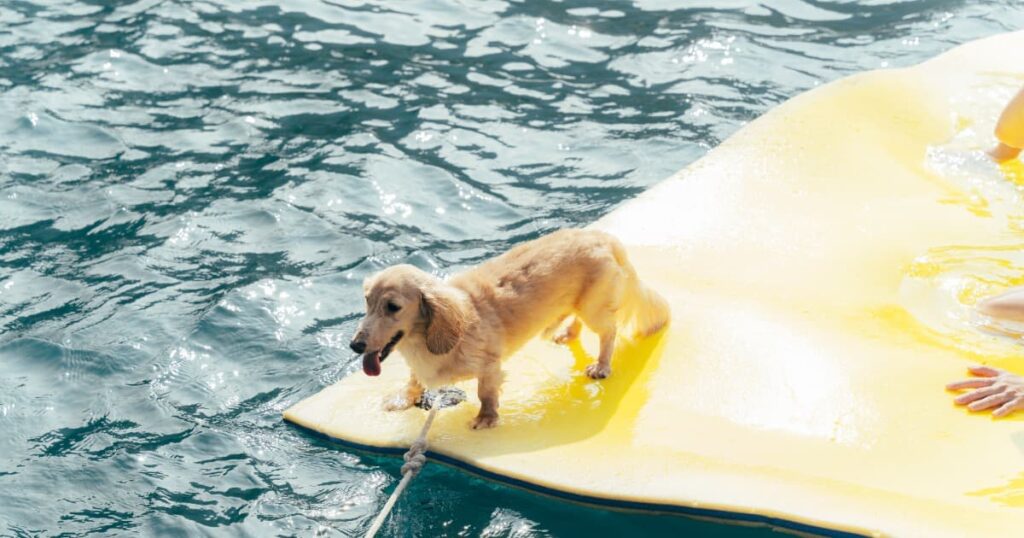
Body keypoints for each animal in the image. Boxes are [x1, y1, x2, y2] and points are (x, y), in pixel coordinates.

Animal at [352, 227, 671, 428]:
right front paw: (402, 399)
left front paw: (486, 419)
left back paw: (602, 365)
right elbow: (414, 381)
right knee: (578, 319)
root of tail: (601, 236)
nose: (355, 346)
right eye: (367, 301)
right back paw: (567, 333)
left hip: (594, 308)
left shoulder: (489, 366)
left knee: (609, 332)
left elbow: (486, 394)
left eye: (393, 307)